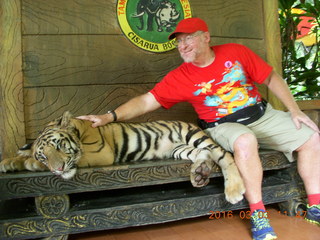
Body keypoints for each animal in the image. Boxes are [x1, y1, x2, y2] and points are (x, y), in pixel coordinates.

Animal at [0, 110, 245, 202]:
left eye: (59, 145)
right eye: (44, 156)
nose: (58, 169)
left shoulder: (101, 154)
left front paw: (28, 162)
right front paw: (9, 162)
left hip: (193, 136)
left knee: (223, 155)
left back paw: (233, 190)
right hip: (180, 149)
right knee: (204, 154)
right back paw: (199, 172)